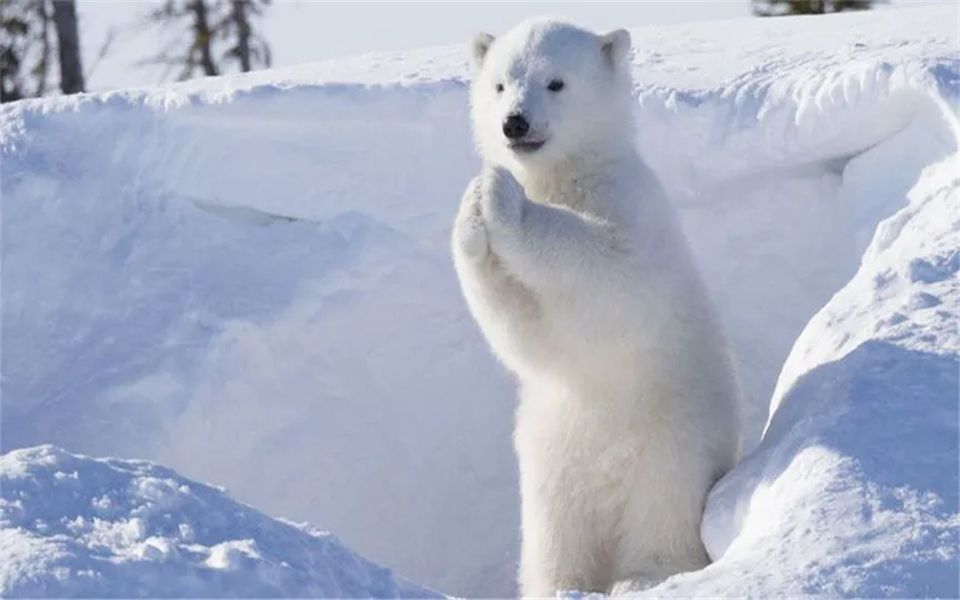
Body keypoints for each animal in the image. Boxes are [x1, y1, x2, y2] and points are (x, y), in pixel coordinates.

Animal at [450, 17, 744, 596]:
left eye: (556, 82)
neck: (568, 175)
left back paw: (643, 576)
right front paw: (472, 215)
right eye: (499, 84)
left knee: (663, 512)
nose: (514, 123)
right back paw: (560, 584)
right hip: (553, 460)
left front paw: (502, 199)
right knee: (555, 534)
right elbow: (524, 330)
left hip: (673, 440)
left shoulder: (633, 205)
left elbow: (614, 273)